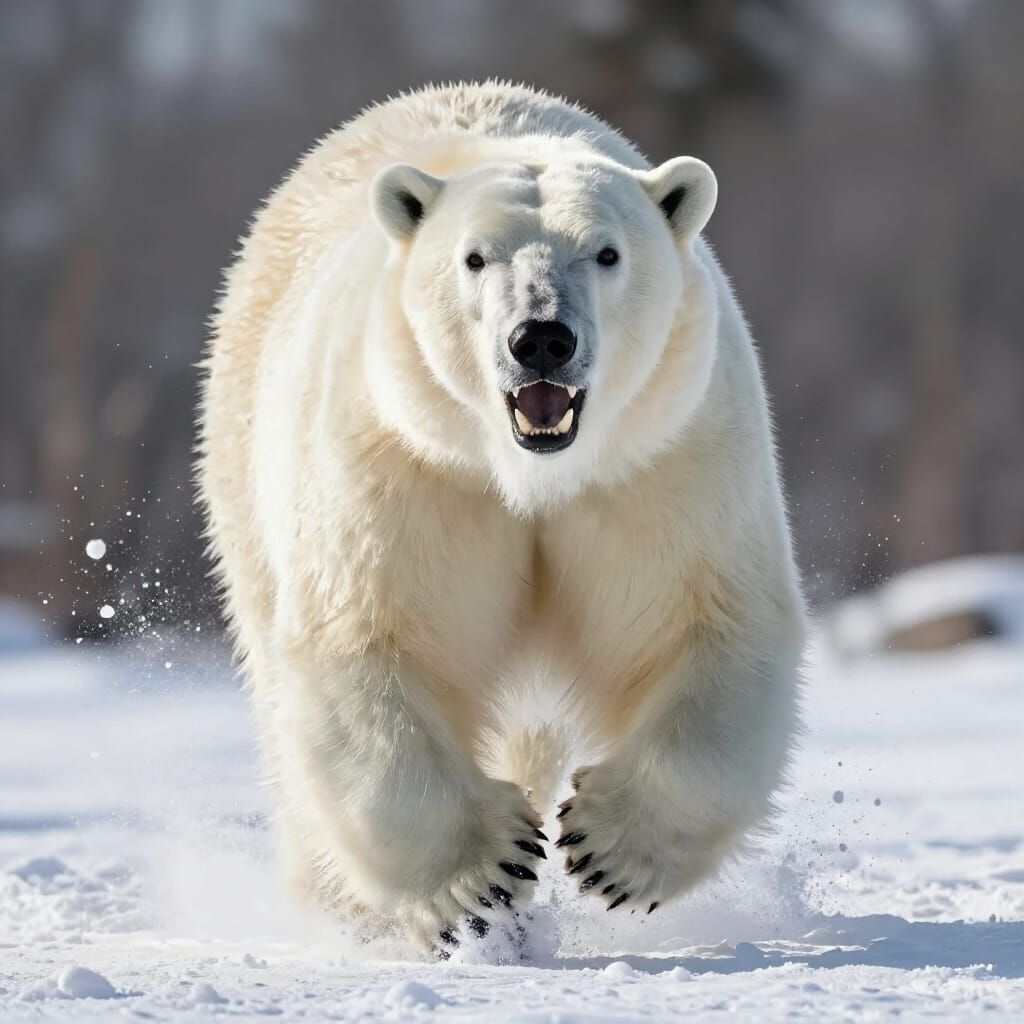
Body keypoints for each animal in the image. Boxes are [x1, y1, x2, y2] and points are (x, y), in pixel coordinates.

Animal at [198, 81, 805, 952]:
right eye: (475, 258)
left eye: (607, 253)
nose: (541, 338)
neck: (529, 476)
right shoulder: (412, 462)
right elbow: (369, 639)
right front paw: (482, 877)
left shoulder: (660, 458)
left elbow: (707, 625)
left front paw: (605, 849)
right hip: (243, 457)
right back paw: (341, 902)